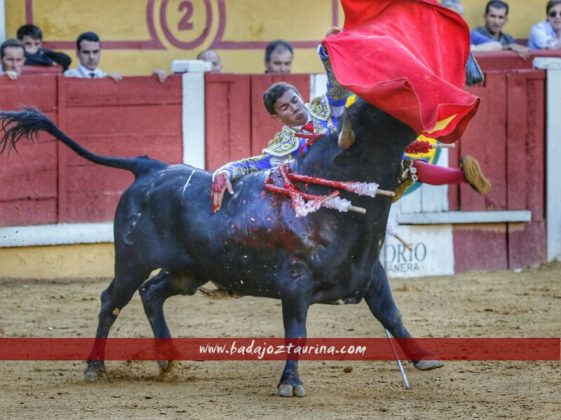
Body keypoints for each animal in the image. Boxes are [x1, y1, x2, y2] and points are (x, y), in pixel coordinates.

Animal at [0, 104, 440, 398]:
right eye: (371, 113)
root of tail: (149, 167)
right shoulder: (295, 285)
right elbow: (297, 332)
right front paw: (290, 383)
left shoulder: (370, 275)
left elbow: (392, 316)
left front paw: (425, 357)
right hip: (132, 261)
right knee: (113, 299)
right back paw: (95, 367)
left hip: (188, 271)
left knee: (151, 293)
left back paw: (168, 359)